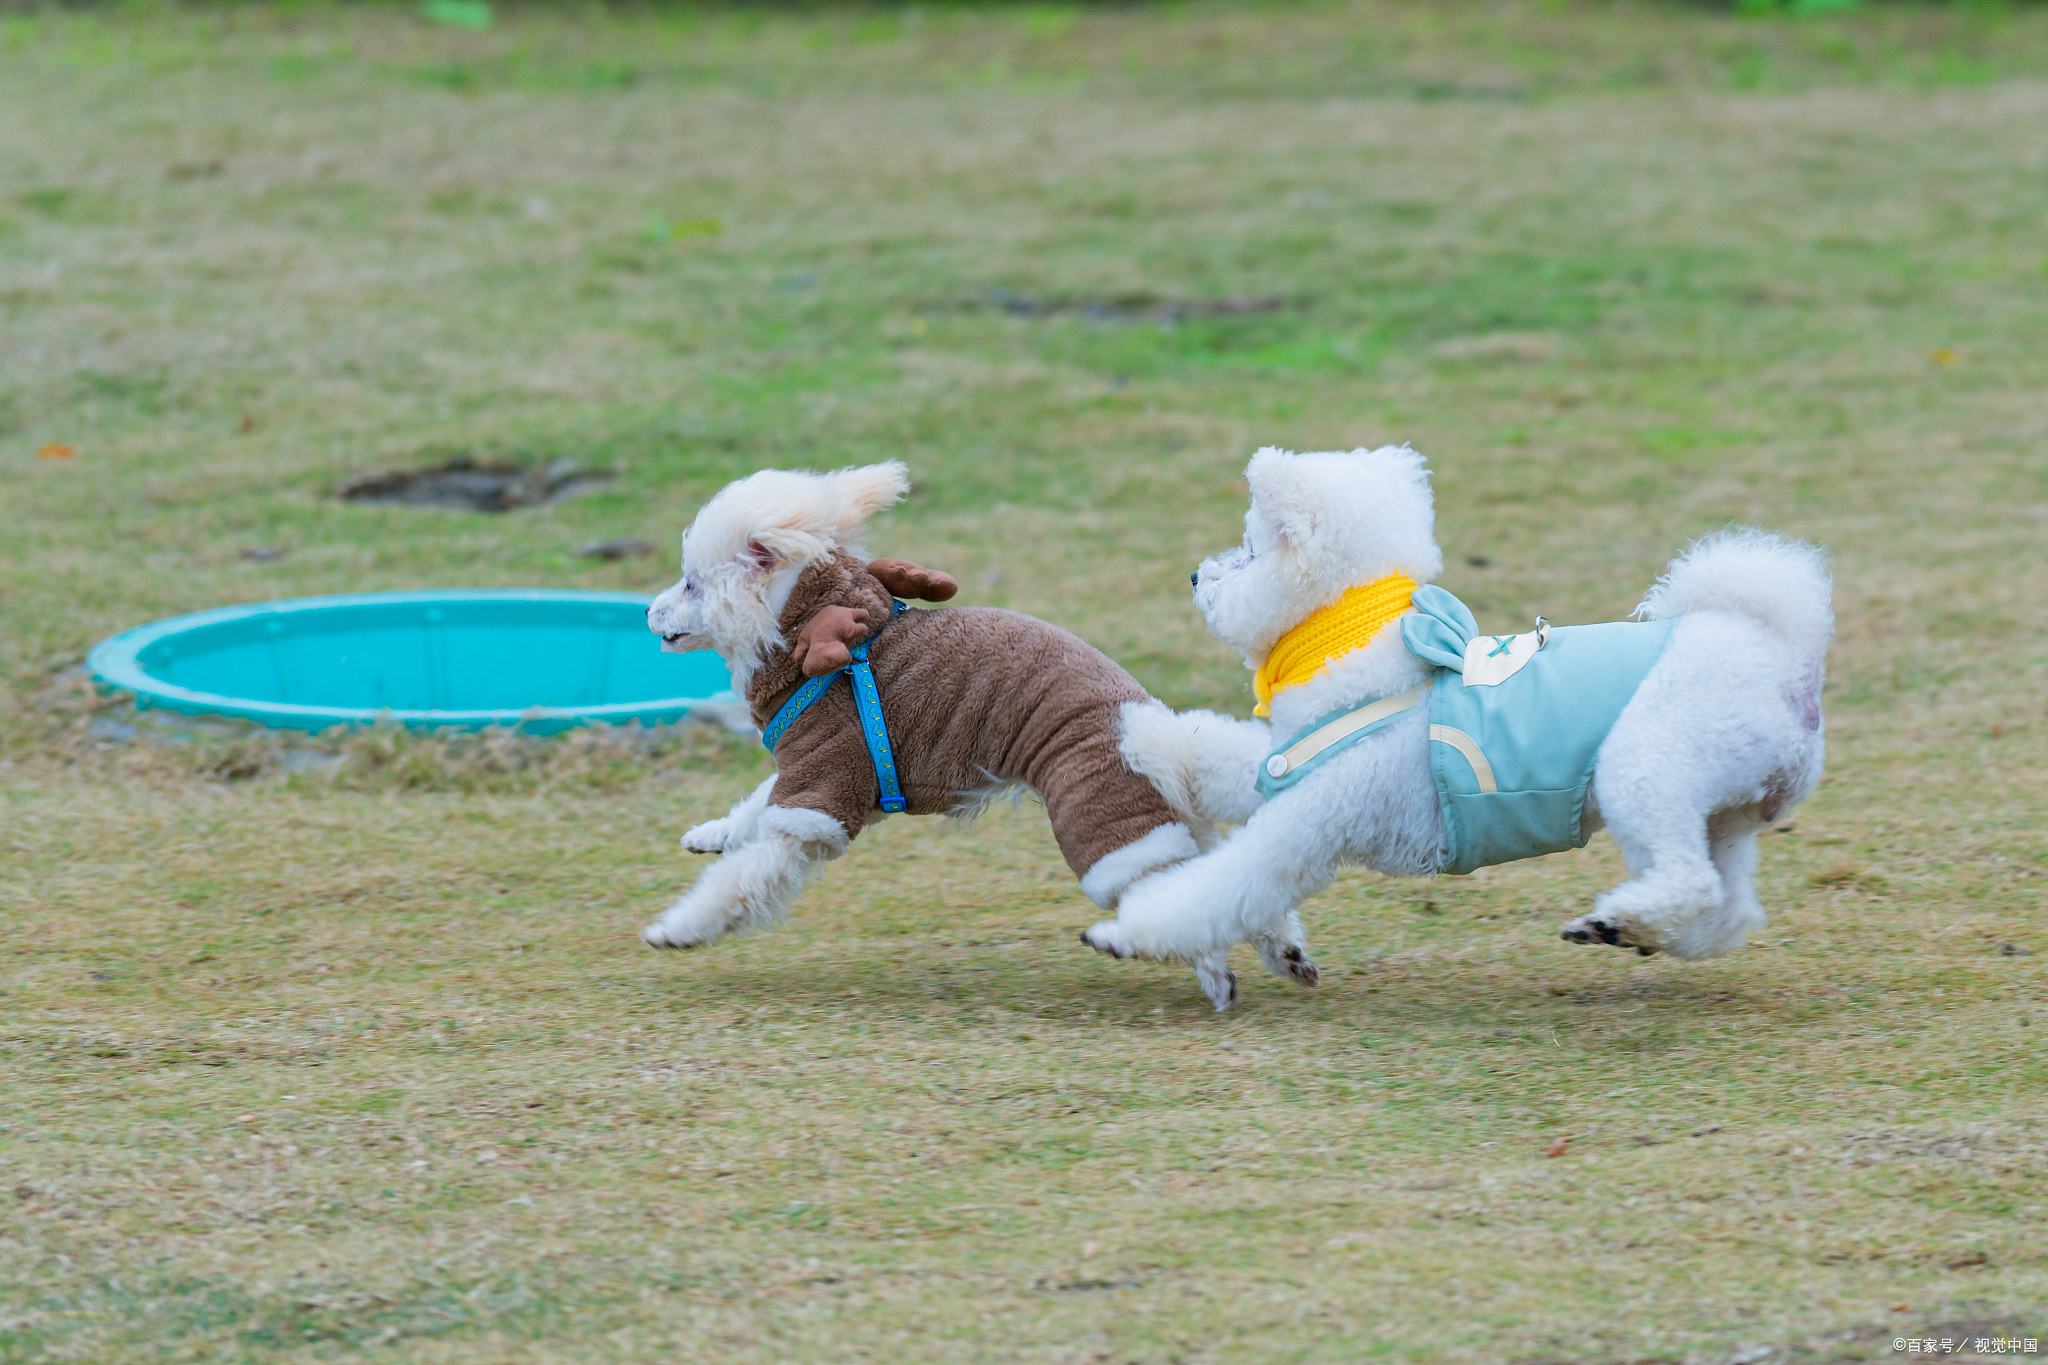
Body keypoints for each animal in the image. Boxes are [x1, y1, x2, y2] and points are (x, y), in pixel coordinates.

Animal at [647, 458, 1269, 1002]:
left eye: (691, 585)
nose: (649, 612)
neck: (825, 637)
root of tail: (1151, 723)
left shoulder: (822, 784)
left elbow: (741, 879)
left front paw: (678, 929)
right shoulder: (814, 777)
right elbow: (754, 807)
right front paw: (712, 834)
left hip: (1099, 811)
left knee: (1162, 892)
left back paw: (1208, 971)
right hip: (1168, 811)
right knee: (1208, 885)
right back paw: (1276, 952)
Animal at [1089, 446, 1843, 1002]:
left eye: (1248, 549)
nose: (1194, 575)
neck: (1361, 652)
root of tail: (1788, 663)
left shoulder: (1308, 823)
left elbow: (1217, 890)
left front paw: (1126, 934)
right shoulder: (1287, 763)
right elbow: (1221, 754)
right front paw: (1149, 738)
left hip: (1644, 769)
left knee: (1692, 880)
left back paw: (1617, 919)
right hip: (1726, 811)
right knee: (1732, 907)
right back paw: (1639, 933)